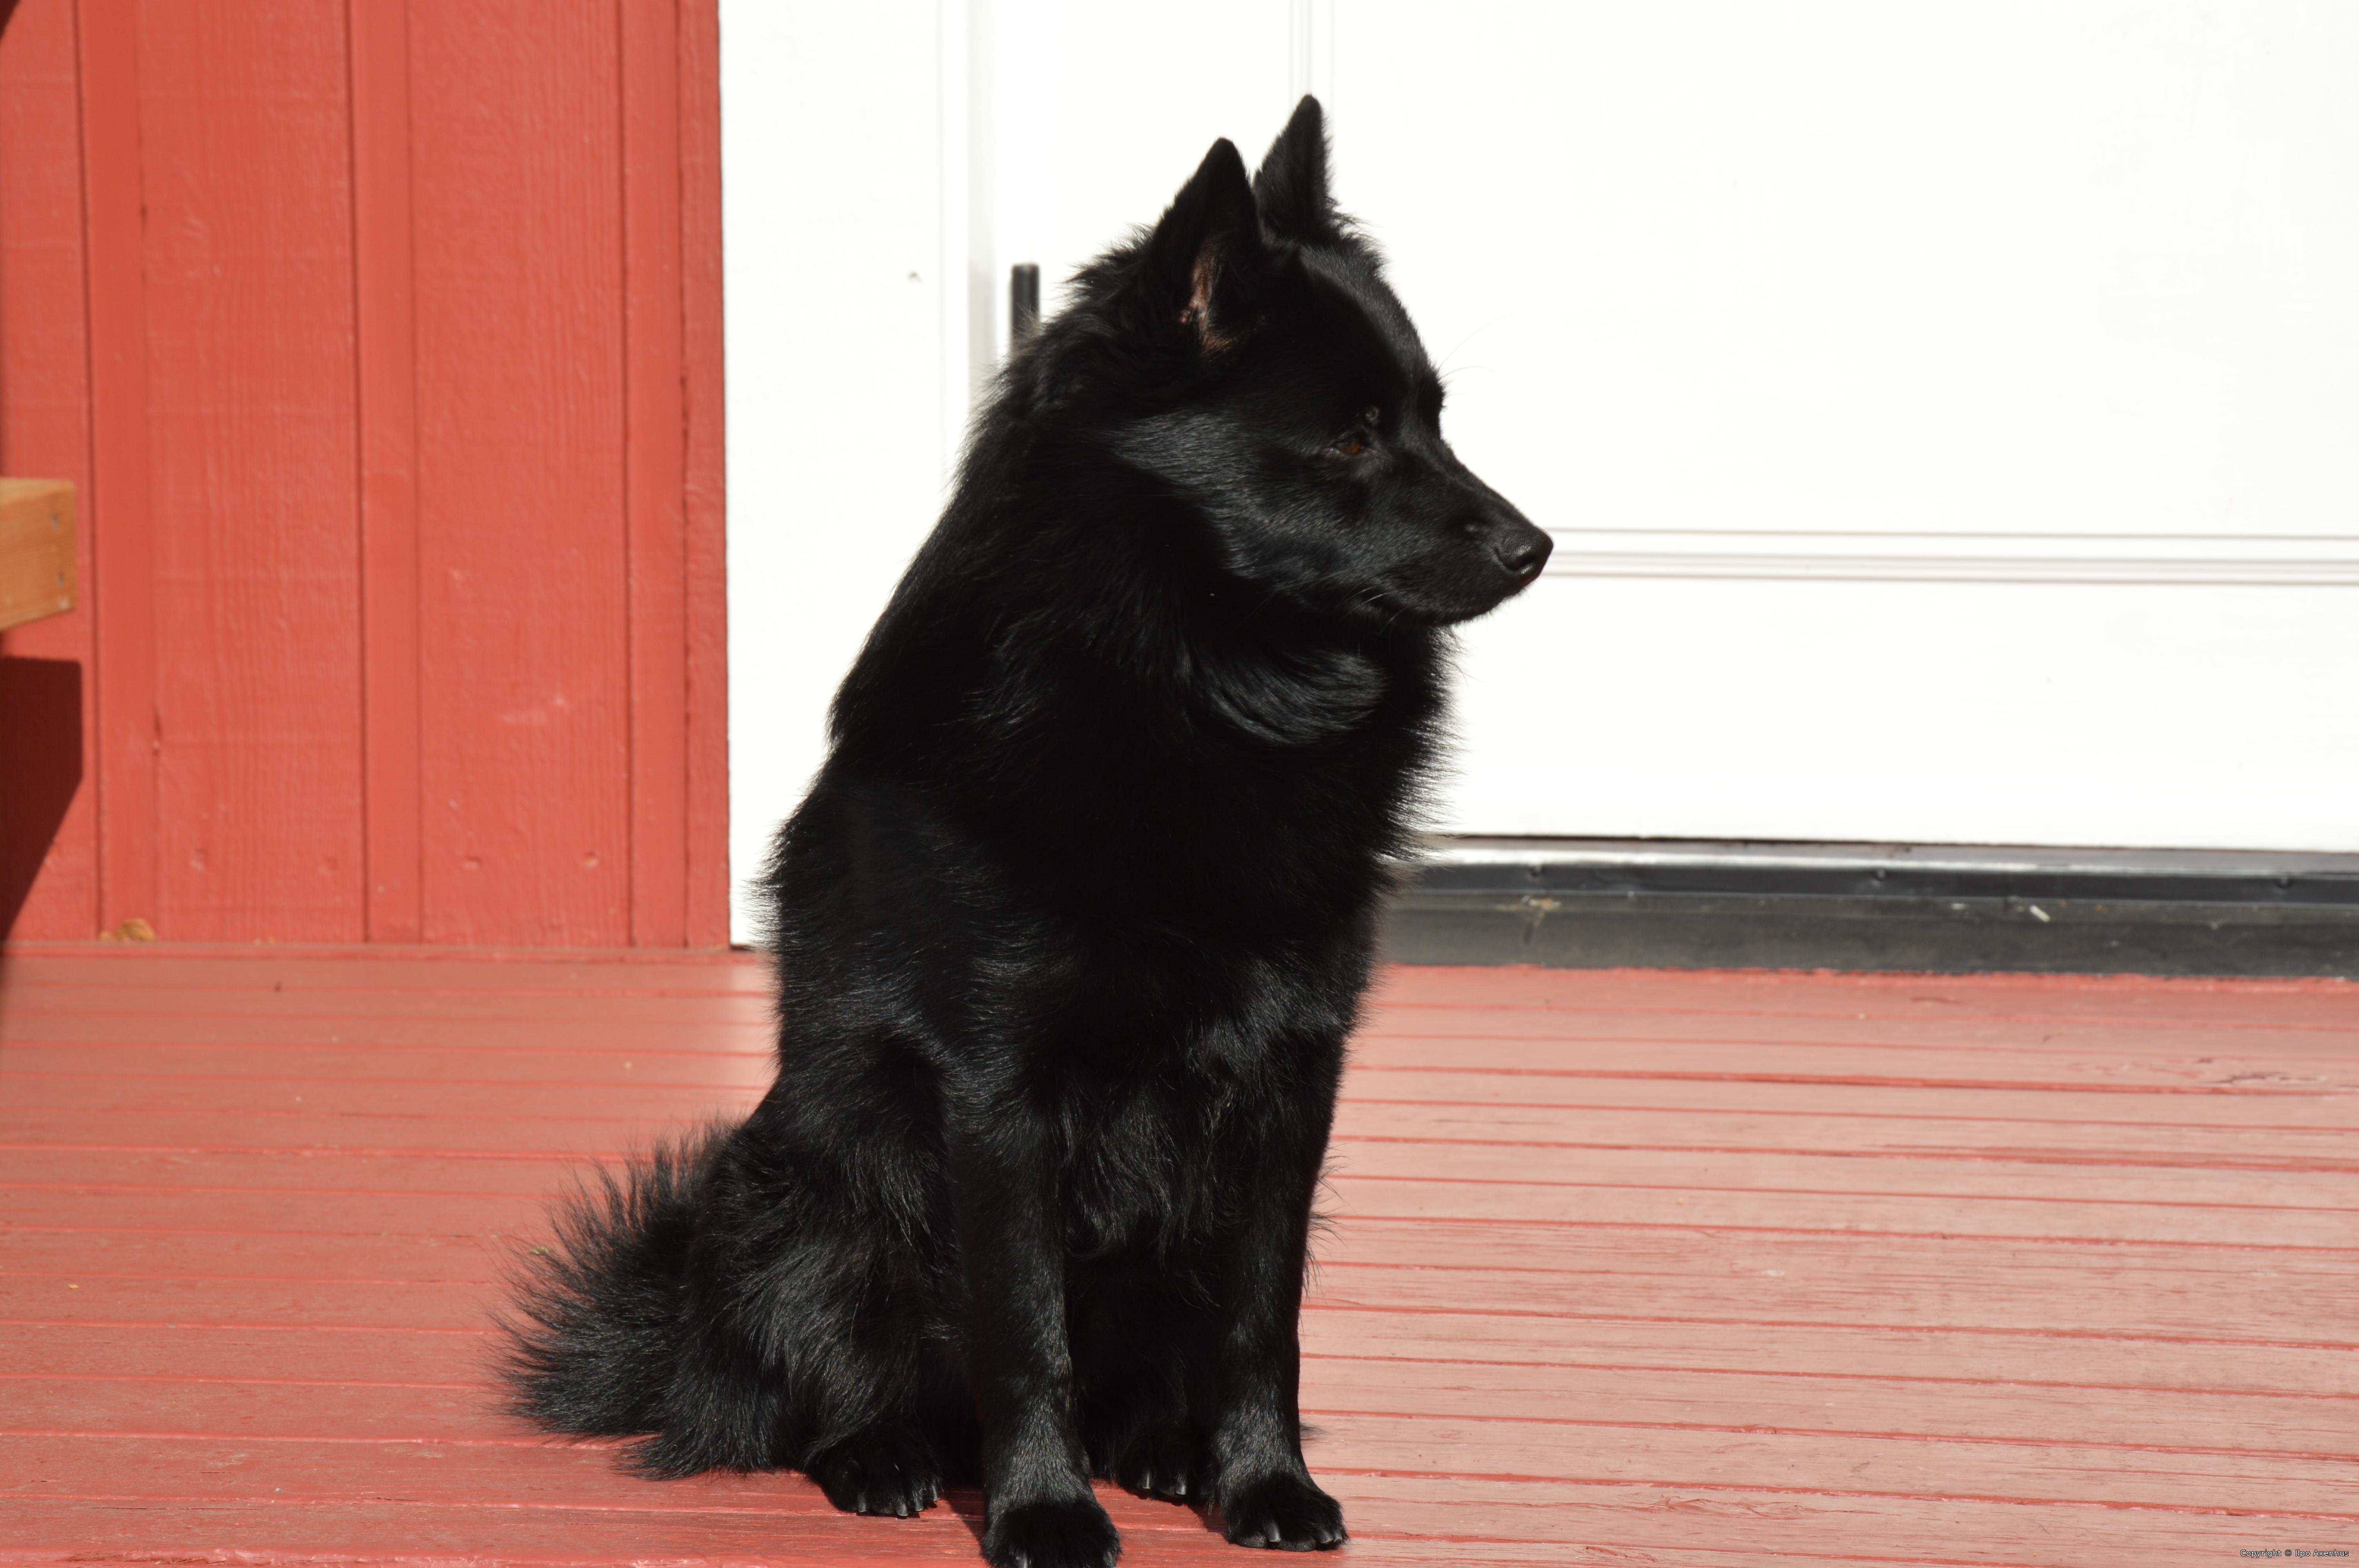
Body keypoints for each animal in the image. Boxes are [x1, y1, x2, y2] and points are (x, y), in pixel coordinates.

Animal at [502, 96, 1550, 1568]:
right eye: (1350, 439)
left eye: (1433, 420)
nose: (1536, 547)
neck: (1203, 687)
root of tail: (680, 1342)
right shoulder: (999, 1089)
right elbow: (1024, 1333)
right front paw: (1045, 1513)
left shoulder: (1292, 1083)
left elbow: (1260, 1325)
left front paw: (1264, 1484)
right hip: (809, 1178)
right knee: (824, 1388)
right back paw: (884, 1456)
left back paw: (1160, 1451)